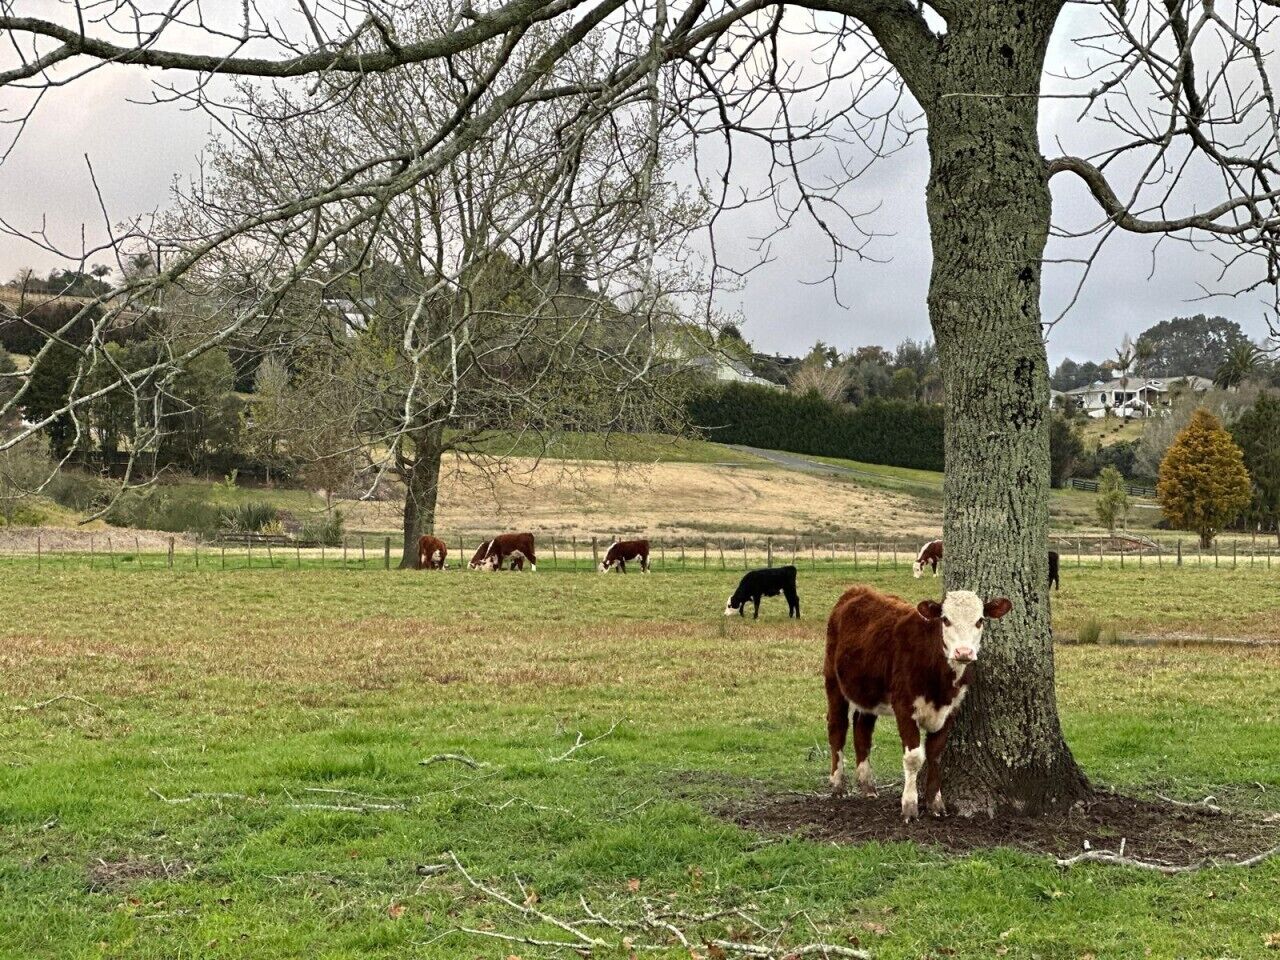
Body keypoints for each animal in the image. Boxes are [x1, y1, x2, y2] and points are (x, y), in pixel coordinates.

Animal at [824, 584, 1012, 821]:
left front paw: (936, 804)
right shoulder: (904, 706)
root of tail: (857, 589)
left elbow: (935, 754)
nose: (964, 652)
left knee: (862, 731)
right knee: (837, 728)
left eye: (980, 620)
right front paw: (910, 806)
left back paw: (867, 786)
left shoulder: (950, 710)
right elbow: (914, 757)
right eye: (945, 620)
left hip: (868, 690)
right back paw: (837, 784)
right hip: (832, 679)